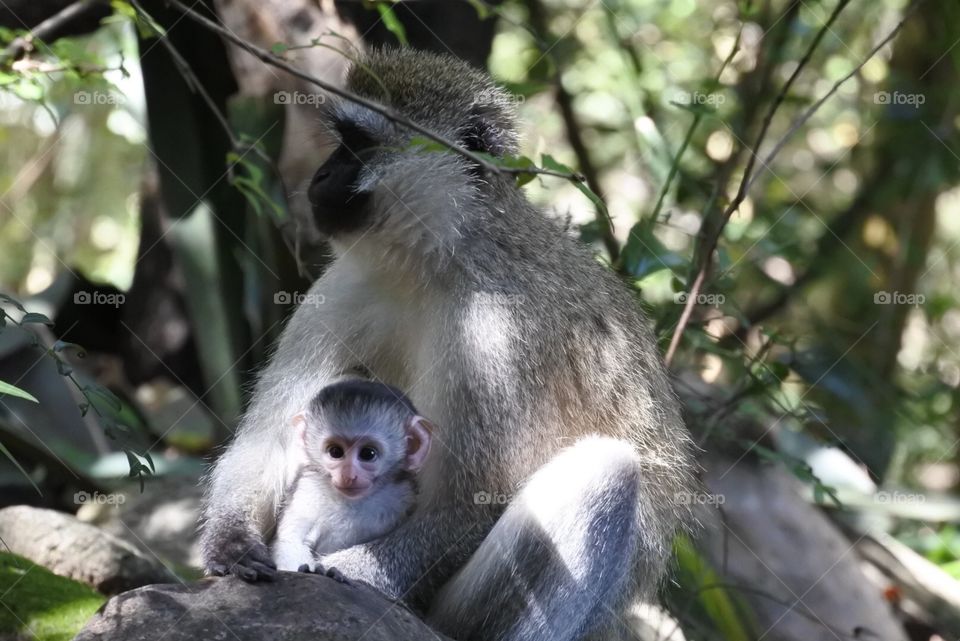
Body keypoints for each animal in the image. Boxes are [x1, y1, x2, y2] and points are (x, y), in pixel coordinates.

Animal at [272, 378, 434, 576]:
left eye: (367, 454)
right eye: (335, 452)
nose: (348, 476)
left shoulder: (403, 495)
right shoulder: (306, 487)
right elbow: (290, 541)